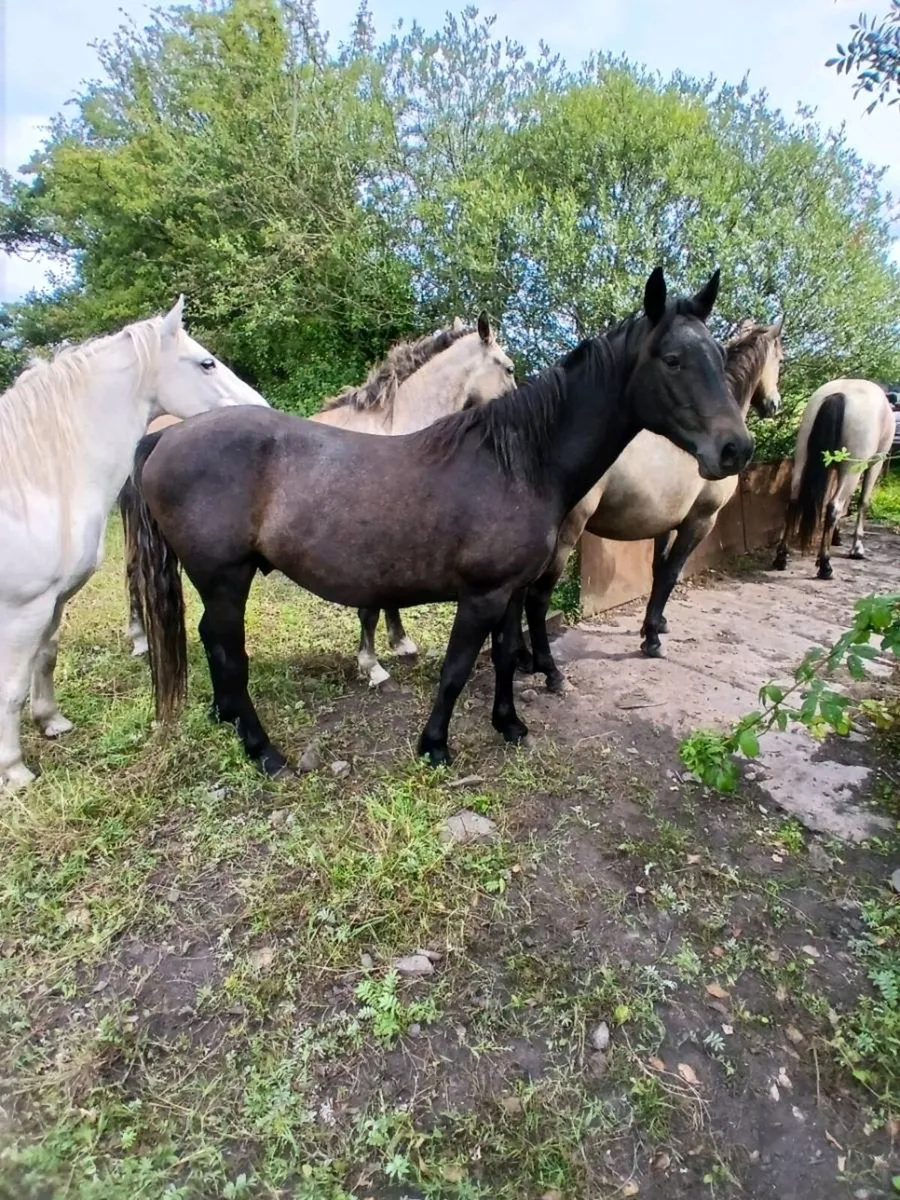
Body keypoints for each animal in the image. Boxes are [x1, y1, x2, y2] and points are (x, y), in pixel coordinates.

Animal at [0, 296, 268, 790]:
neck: (37, 483)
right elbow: (10, 686)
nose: (261, 409)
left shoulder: (52, 602)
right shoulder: (24, 607)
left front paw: (50, 720)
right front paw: (14, 769)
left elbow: (45, 656)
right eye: (206, 362)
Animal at [121, 314, 517, 683]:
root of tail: (157, 434)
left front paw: (400, 642)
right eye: (509, 367)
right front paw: (372, 665)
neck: (394, 427)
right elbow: (370, 608)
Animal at [516, 316, 785, 684]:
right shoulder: (699, 522)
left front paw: (655, 625)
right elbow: (671, 574)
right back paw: (548, 669)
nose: (775, 404)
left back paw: (522, 658)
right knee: (534, 596)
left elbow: (659, 571)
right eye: (780, 359)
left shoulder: (666, 524)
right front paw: (653, 640)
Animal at [772, 378, 893, 579]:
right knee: (834, 506)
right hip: (853, 468)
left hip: (803, 458)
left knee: (794, 502)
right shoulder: (875, 463)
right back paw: (825, 565)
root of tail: (839, 395)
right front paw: (856, 548)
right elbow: (862, 502)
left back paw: (781, 558)